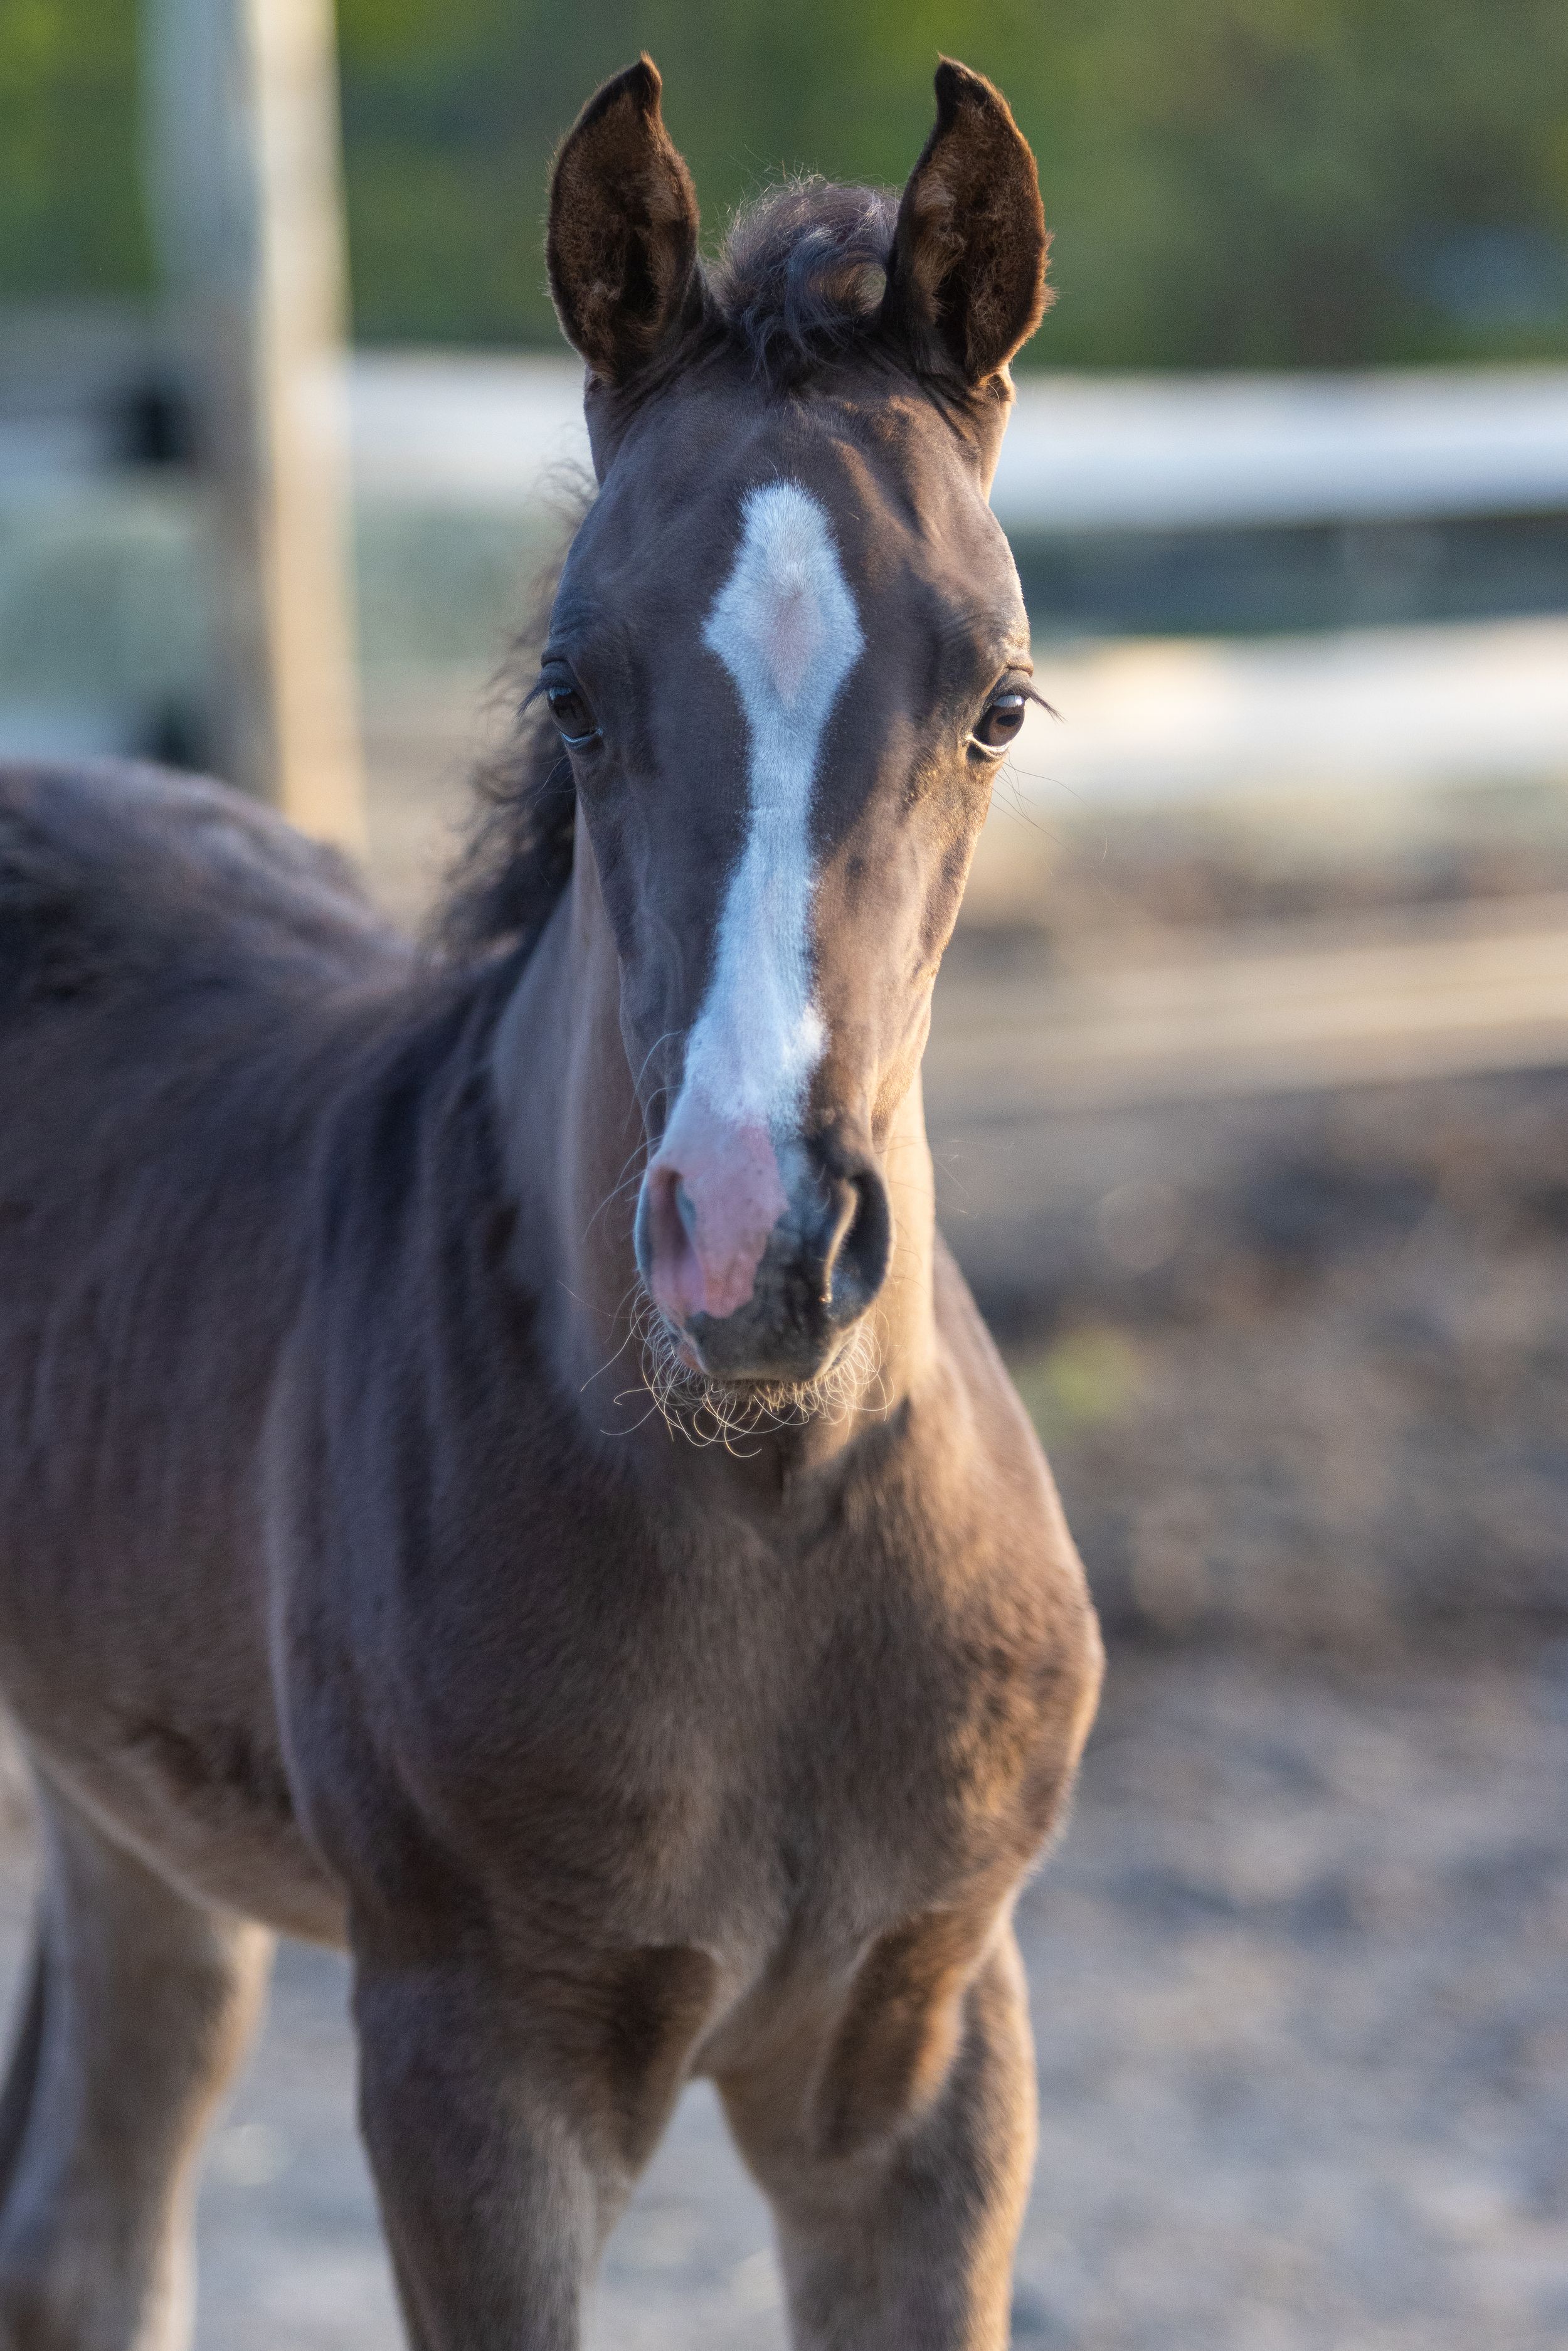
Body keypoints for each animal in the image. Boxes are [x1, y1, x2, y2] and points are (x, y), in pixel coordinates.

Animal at [0, 55, 1101, 2351]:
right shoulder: (470, 2063)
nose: (752, 1245)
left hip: (124, 1802)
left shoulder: (931, 2054)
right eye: (570, 693)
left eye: (998, 701)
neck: (770, 1509)